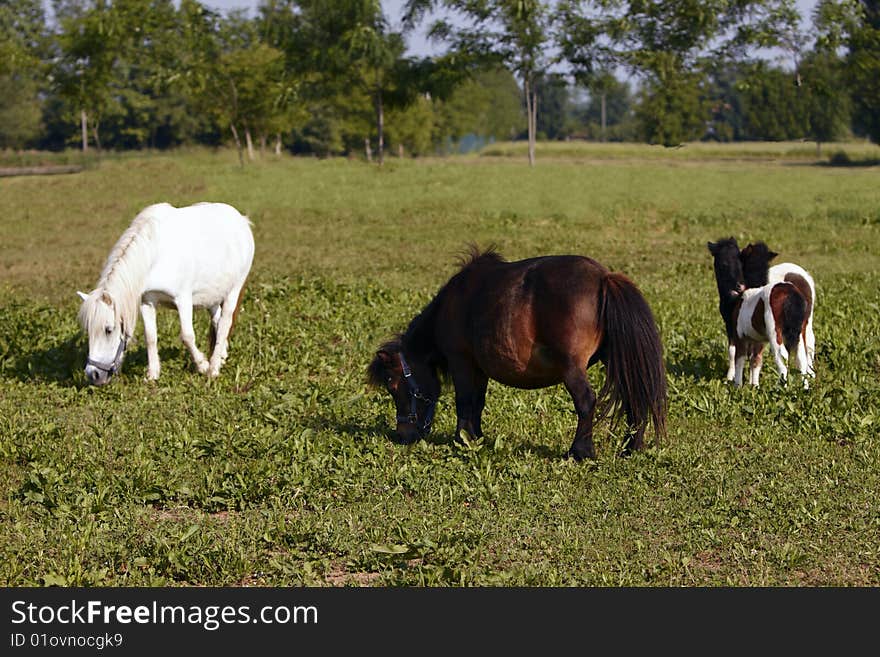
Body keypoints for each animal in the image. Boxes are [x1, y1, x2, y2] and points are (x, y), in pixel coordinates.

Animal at [76, 200, 256, 384]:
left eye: (108, 330)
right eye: (88, 330)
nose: (93, 375)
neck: (155, 254)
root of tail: (242, 220)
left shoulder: (183, 299)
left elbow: (187, 335)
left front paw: (203, 365)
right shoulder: (147, 301)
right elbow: (150, 337)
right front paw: (152, 374)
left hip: (234, 289)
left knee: (225, 322)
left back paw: (213, 368)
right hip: (212, 296)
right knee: (217, 321)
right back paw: (221, 356)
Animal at [366, 249, 668, 458]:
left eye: (394, 386)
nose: (403, 435)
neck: (451, 305)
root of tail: (604, 278)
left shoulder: (461, 361)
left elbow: (464, 401)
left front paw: (461, 439)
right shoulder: (479, 368)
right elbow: (477, 403)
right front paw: (476, 437)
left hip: (572, 368)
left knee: (586, 401)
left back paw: (580, 451)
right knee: (633, 396)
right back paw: (630, 447)